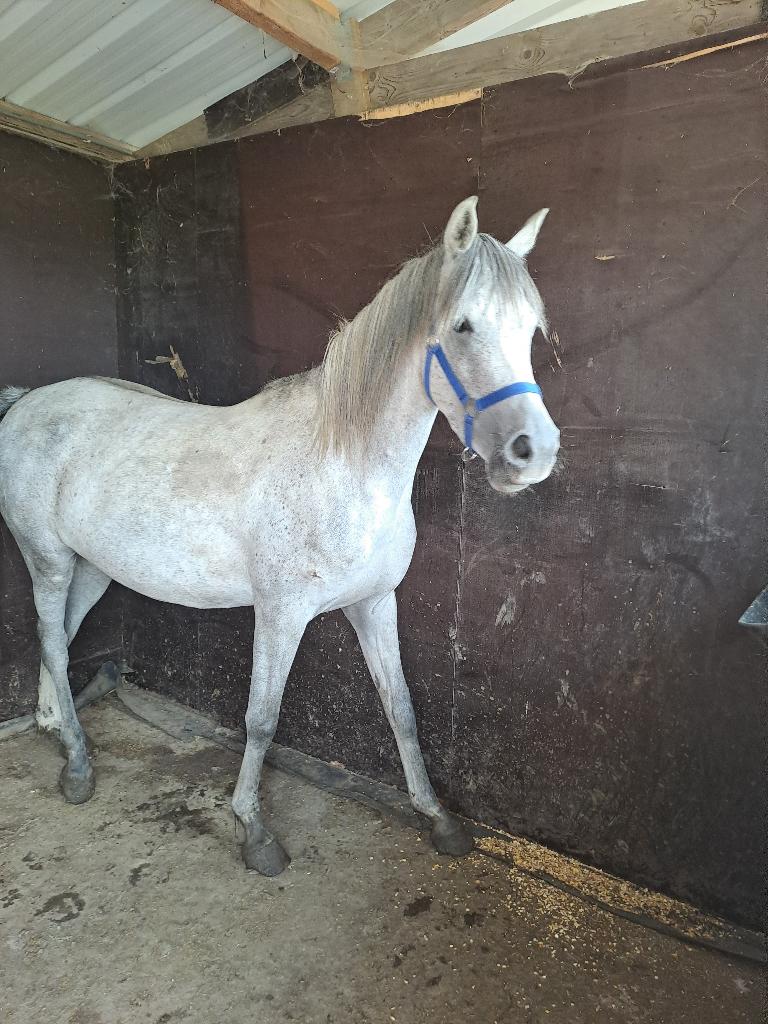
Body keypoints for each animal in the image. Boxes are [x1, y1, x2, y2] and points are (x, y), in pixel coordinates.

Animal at [0, 197, 560, 876]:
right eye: (462, 327)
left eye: (530, 331)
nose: (533, 452)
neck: (342, 467)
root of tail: (25, 404)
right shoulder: (280, 613)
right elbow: (262, 719)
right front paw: (254, 830)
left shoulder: (375, 603)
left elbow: (401, 709)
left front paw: (438, 818)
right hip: (48, 560)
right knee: (55, 645)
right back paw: (79, 766)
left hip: (93, 568)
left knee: (58, 639)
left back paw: (56, 727)